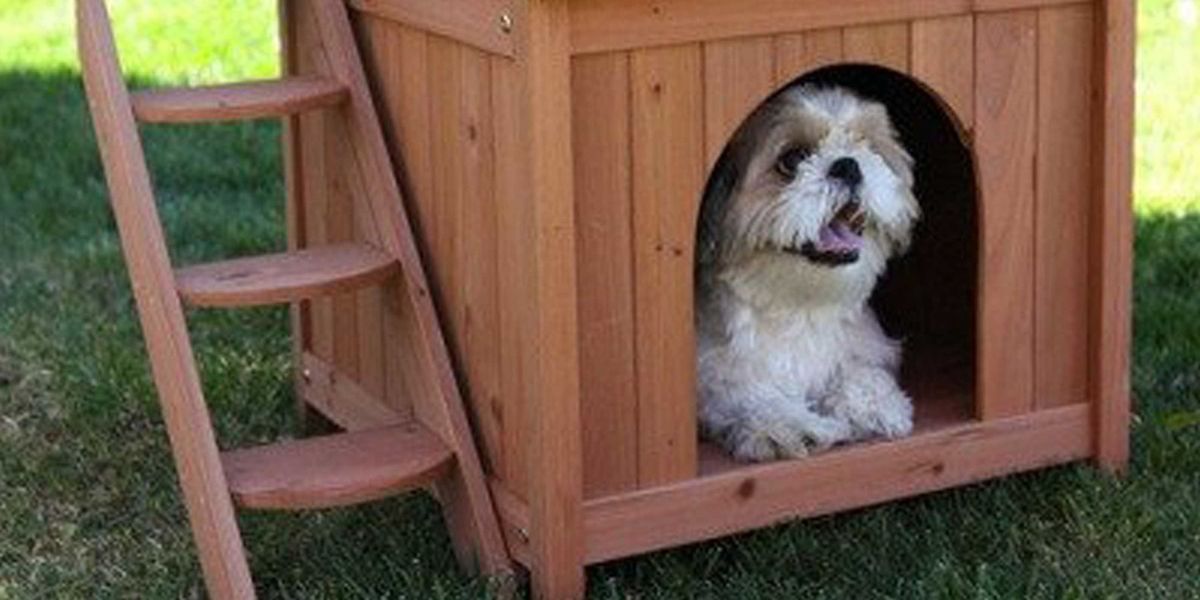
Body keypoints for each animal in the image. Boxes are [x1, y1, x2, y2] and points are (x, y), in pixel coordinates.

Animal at [696, 84, 916, 460]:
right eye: (793, 159)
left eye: (866, 146)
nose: (848, 165)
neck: (796, 307)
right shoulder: (718, 374)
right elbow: (752, 396)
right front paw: (794, 425)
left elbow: (861, 373)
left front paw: (876, 406)